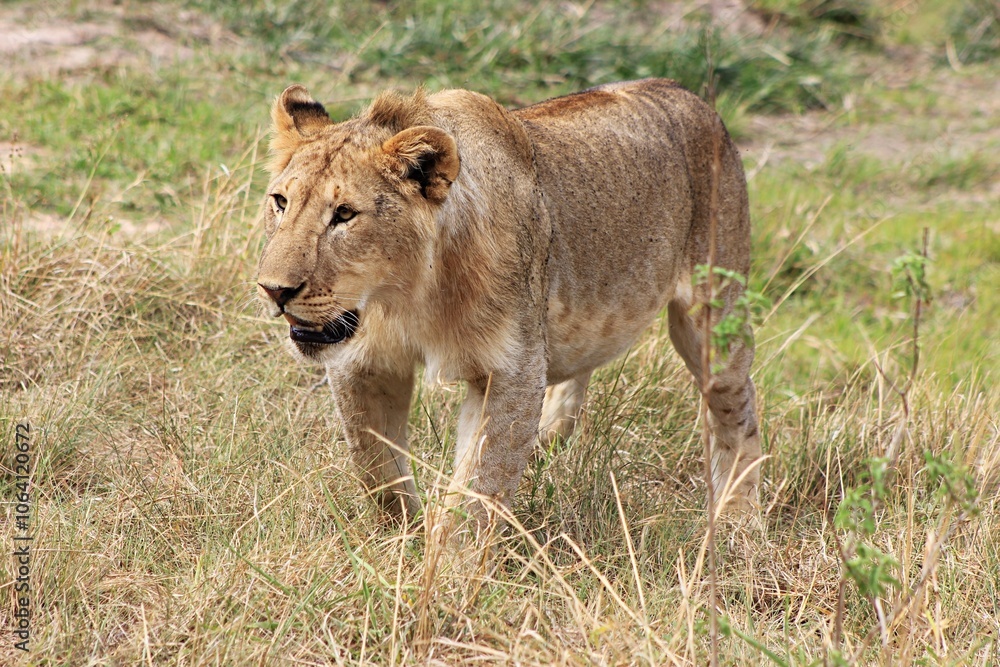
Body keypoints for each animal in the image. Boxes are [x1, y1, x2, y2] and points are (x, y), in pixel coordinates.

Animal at [256, 79, 762, 528]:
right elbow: (377, 470)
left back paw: (737, 520)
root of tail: (689, 95)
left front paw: (449, 571)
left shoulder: (509, 370)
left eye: (344, 214)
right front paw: (400, 540)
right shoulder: (363, 365)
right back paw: (547, 445)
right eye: (280, 201)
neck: (403, 298)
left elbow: (478, 490)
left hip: (714, 317)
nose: (273, 289)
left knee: (737, 408)